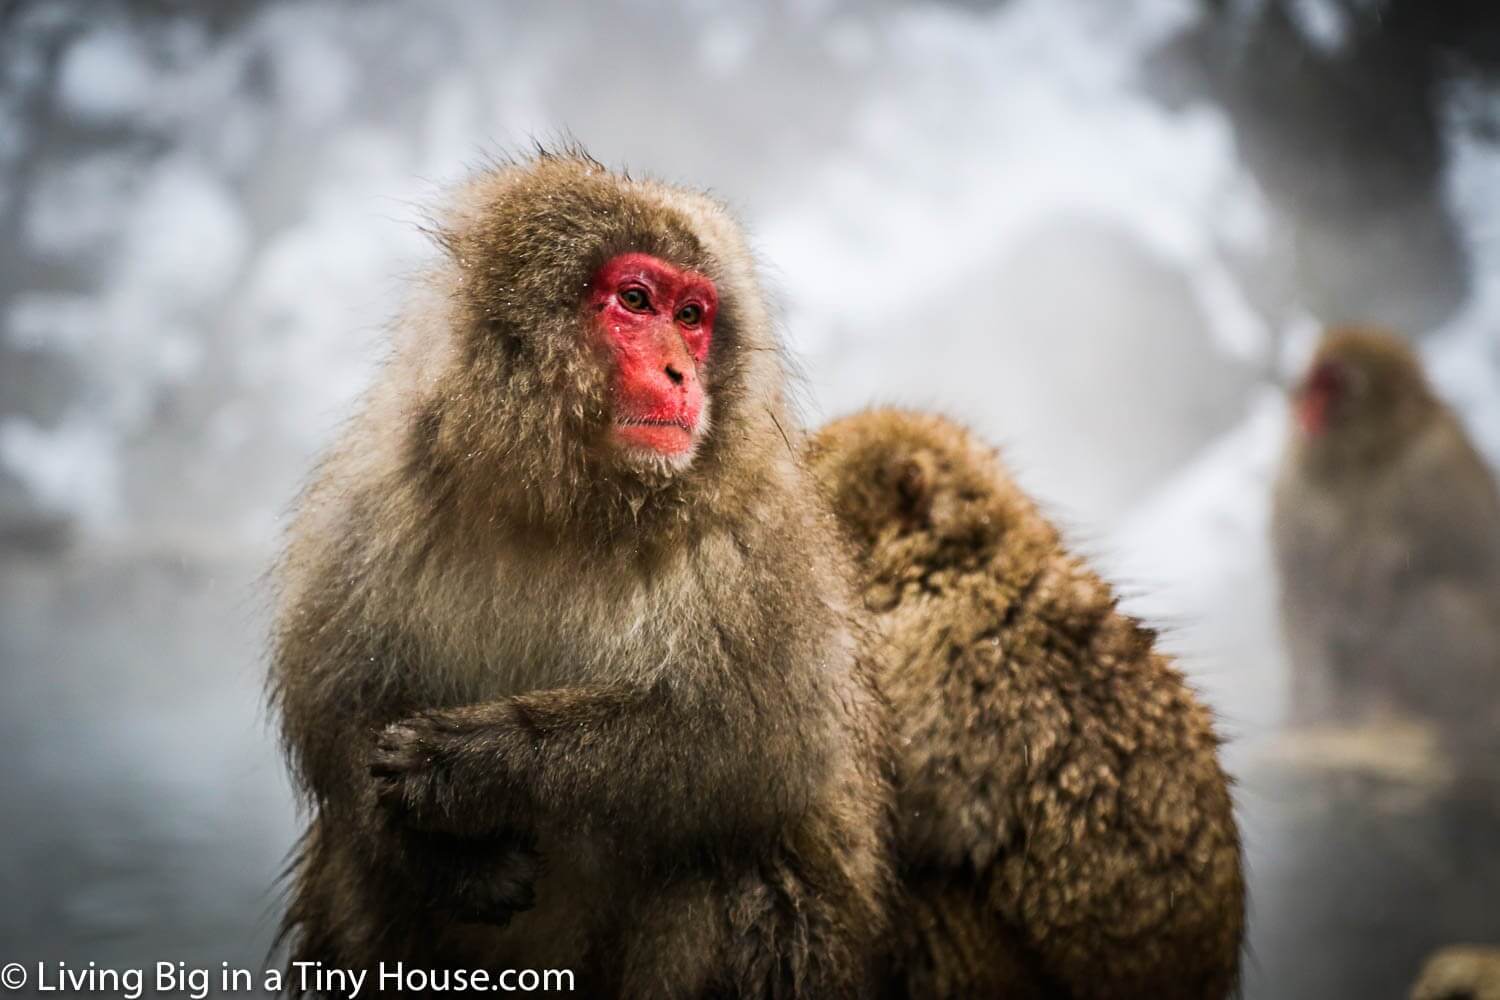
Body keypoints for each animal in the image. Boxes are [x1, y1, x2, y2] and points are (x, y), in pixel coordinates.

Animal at [270, 150, 888, 1000]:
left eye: (691, 316)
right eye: (635, 301)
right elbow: (332, 700)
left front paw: (480, 764)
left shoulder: (761, 536)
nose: (681, 374)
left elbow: (760, 744)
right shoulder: (376, 486)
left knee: (710, 872)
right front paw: (448, 858)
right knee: (362, 873)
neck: (566, 503)